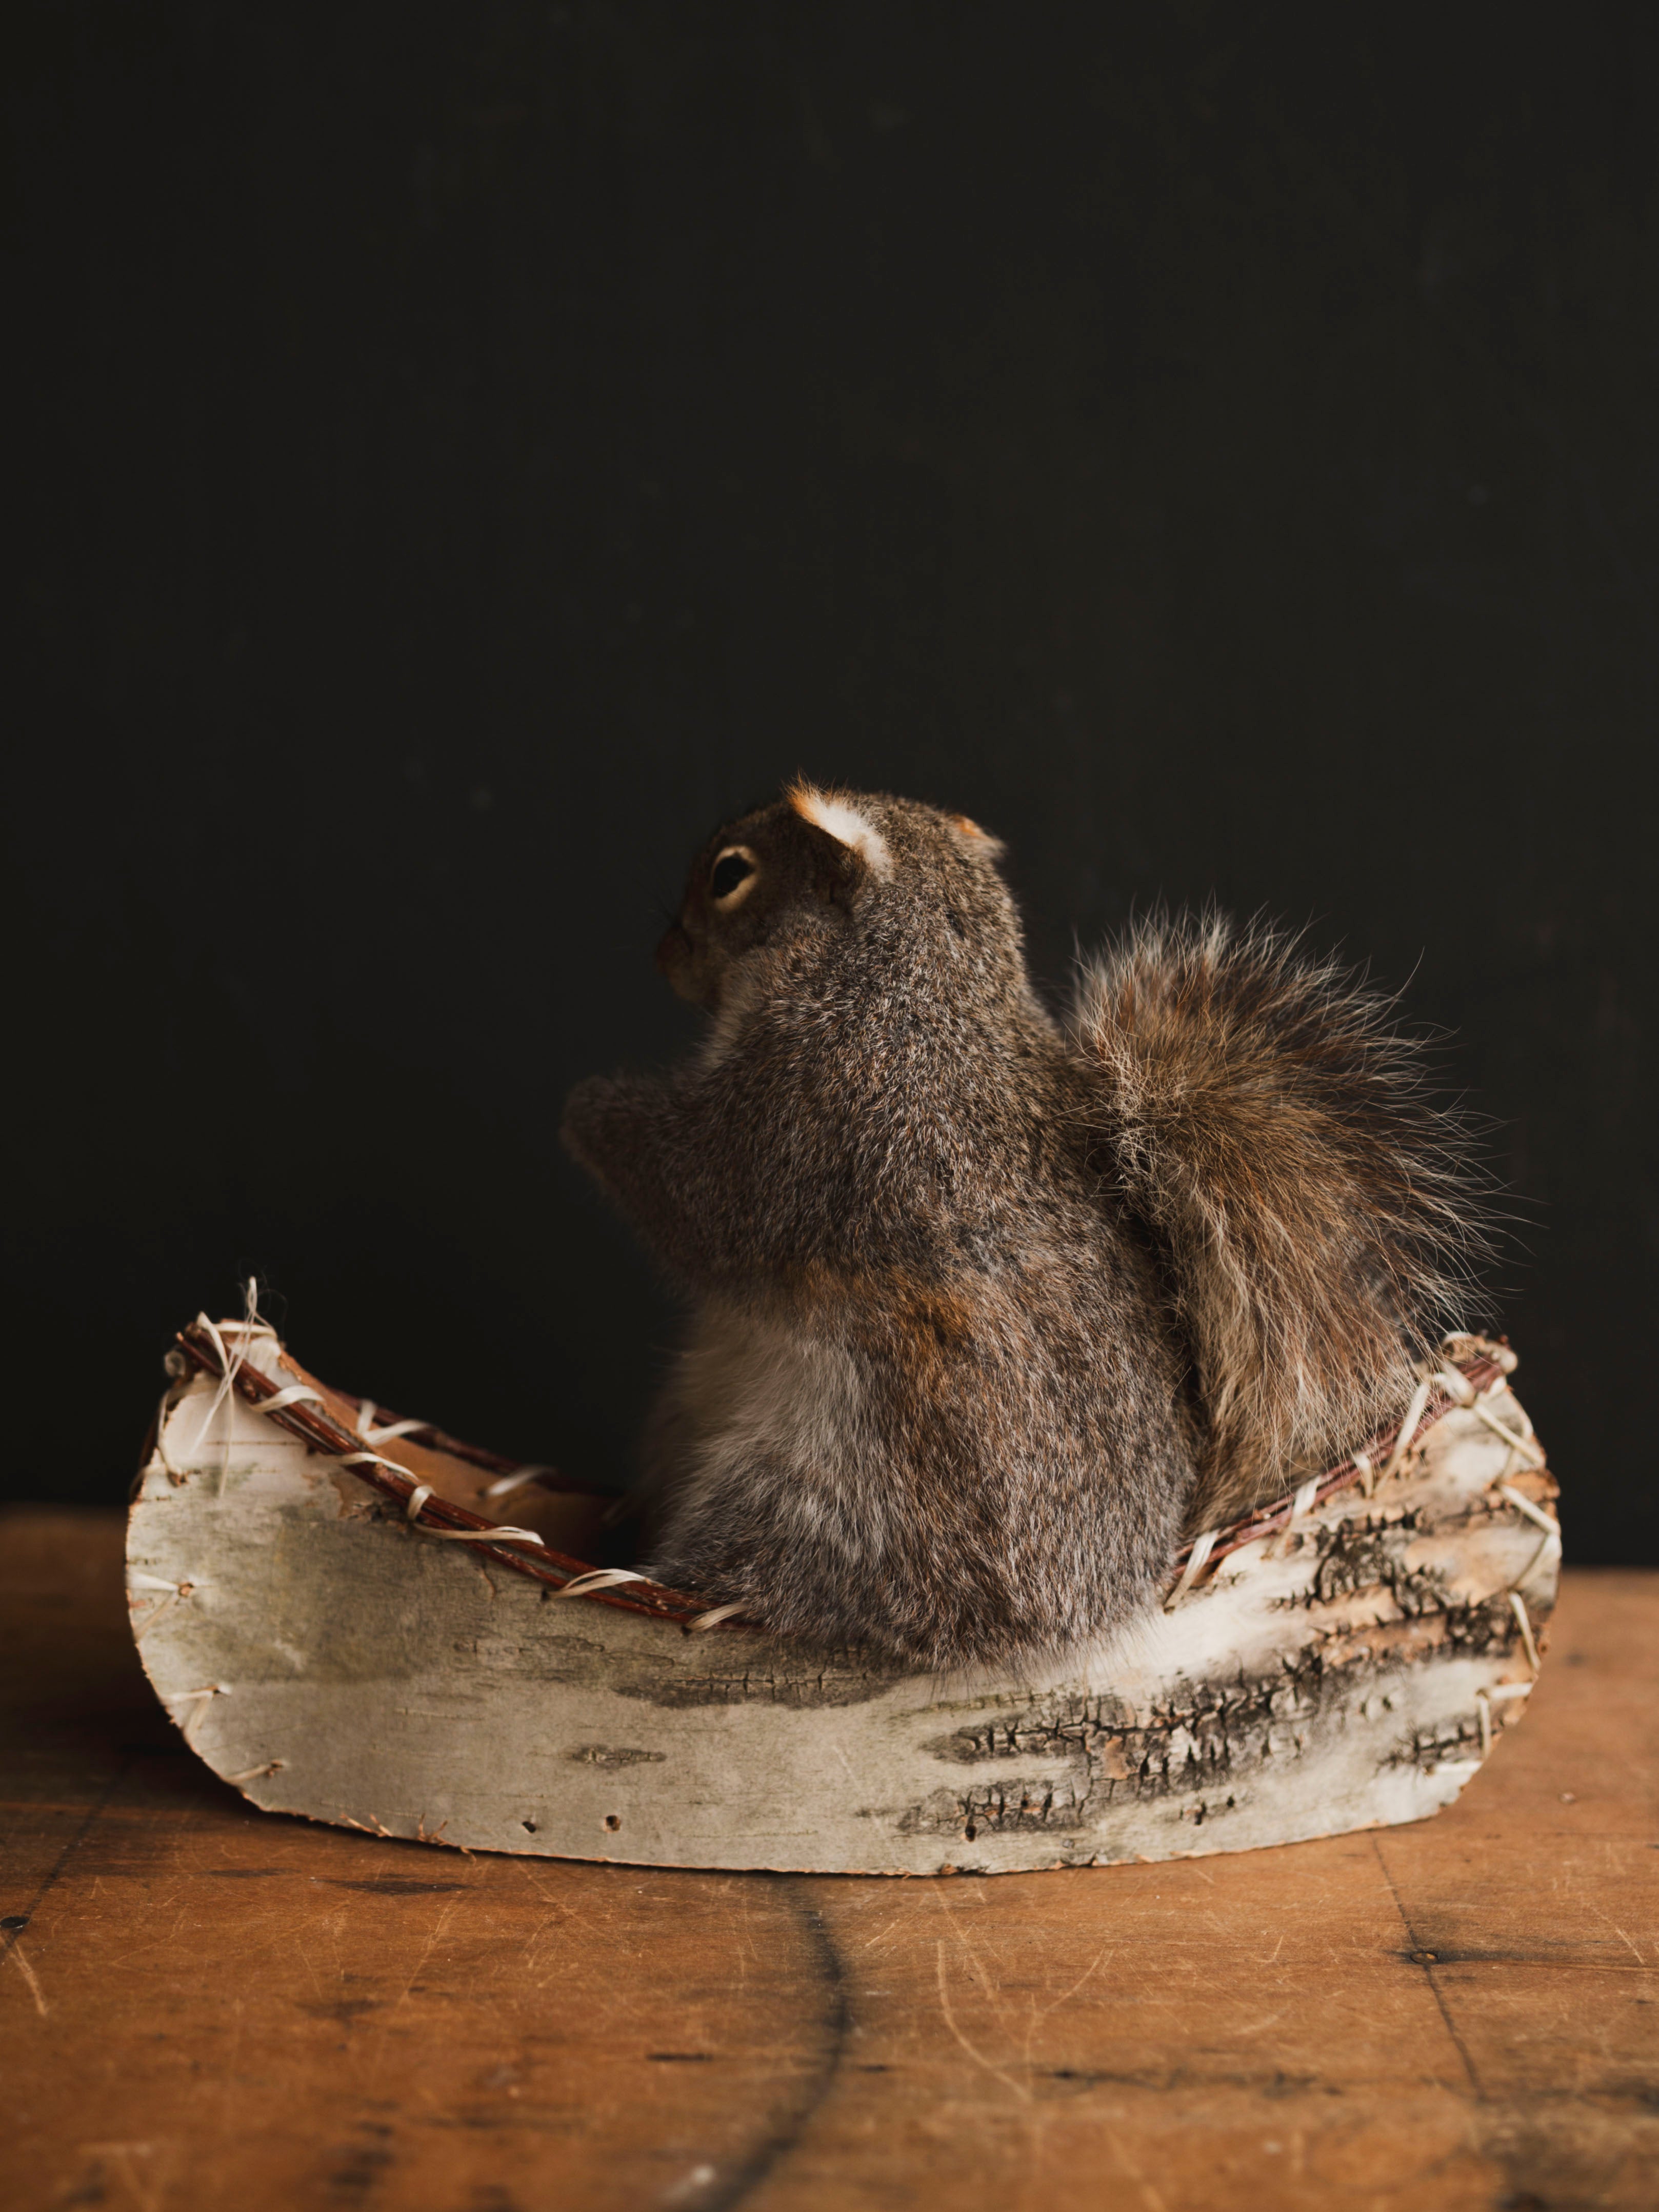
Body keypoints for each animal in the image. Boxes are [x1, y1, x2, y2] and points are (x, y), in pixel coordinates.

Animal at [560, 783, 1483, 1669]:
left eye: (729, 874)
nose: (663, 953)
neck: (912, 977)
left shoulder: (813, 1111)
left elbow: (694, 1192)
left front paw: (585, 1105)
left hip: (830, 1498)